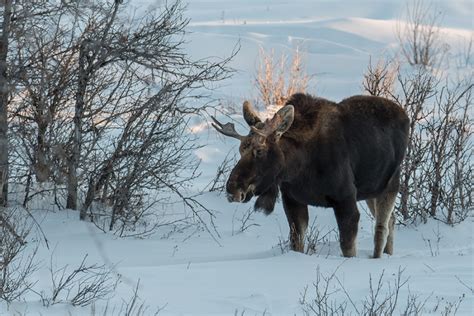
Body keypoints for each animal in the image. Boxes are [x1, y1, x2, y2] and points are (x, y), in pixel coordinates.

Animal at [213, 92, 410, 258]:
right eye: (241, 150)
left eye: (259, 151)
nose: (232, 188)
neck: (299, 167)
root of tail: (406, 116)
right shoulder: (293, 200)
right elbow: (296, 243)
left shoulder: (345, 199)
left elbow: (348, 248)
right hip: (370, 190)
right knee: (391, 220)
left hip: (391, 182)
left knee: (381, 227)